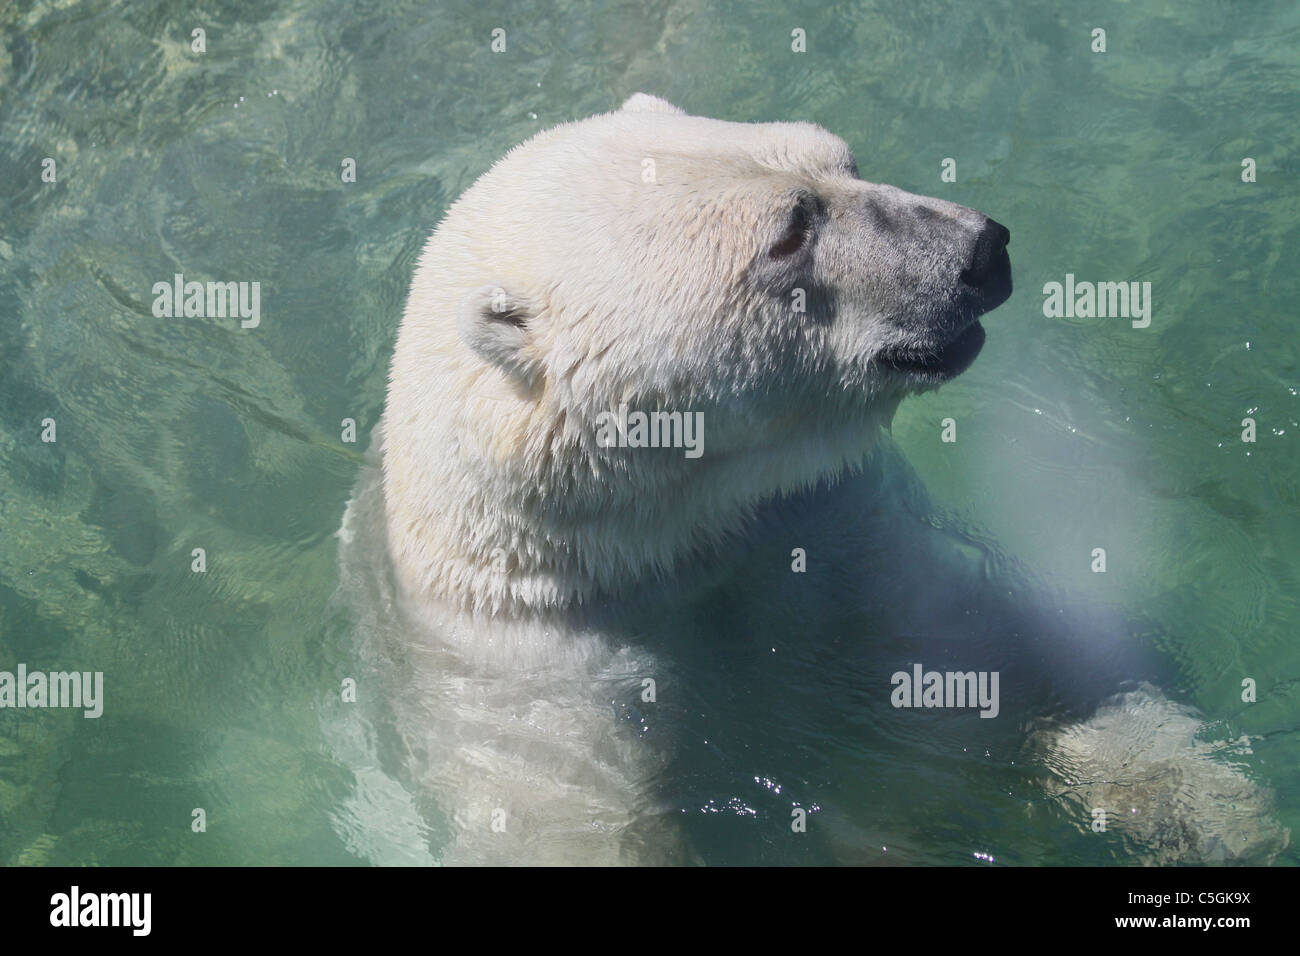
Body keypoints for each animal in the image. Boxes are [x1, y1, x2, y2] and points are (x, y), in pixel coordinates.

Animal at [340, 93, 1284, 863]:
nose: (979, 249)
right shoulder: (532, 682)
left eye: (843, 160)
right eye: (790, 232)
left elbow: (1000, 656)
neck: (664, 547)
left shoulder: (829, 526)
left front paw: (1210, 806)